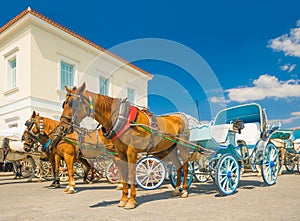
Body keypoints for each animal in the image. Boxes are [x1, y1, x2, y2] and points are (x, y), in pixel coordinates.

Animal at [53, 83, 190, 209]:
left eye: (73, 103)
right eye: (64, 104)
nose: (63, 127)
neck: (121, 118)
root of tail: (181, 117)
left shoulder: (132, 152)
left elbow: (131, 174)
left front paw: (131, 201)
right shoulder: (120, 153)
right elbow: (123, 174)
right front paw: (124, 199)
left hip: (183, 147)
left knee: (185, 166)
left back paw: (184, 190)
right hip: (169, 150)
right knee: (178, 166)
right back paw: (176, 189)